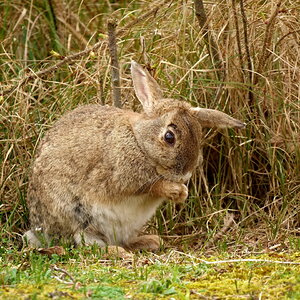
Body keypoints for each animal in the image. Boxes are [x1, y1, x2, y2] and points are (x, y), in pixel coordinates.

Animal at [22, 60, 244, 251]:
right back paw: (119, 252)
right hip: (78, 217)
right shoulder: (122, 177)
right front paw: (174, 190)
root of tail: (40, 230)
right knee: (89, 245)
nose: (184, 175)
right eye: (169, 137)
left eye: (199, 136)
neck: (139, 141)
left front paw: (182, 193)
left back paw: (151, 241)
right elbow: (151, 186)